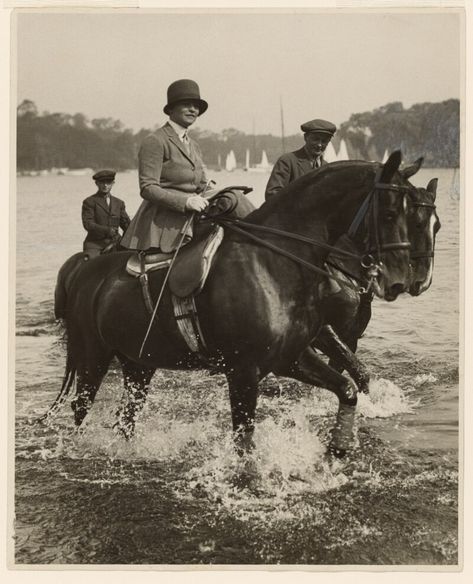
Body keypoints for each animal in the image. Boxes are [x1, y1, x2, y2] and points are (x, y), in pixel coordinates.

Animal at [48, 151, 420, 456]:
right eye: (389, 213)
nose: (400, 280)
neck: (272, 262)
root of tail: (82, 271)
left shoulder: (290, 357)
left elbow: (347, 388)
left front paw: (338, 447)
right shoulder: (243, 370)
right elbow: (245, 441)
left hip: (139, 363)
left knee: (126, 418)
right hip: (93, 357)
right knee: (81, 410)